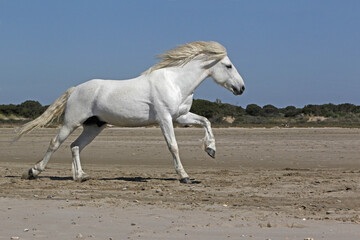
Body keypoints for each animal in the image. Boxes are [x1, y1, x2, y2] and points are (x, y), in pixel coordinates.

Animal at [16, 41, 245, 184]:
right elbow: (173, 146)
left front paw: (211, 150)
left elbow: (206, 121)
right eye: (228, 66)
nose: (241, 88)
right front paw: (184, 176)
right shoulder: (165, 119)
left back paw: (80, 176)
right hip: (71, 123)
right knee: (55, 143)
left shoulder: (180, 117)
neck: (176, 83)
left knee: (75, 146)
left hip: (94, 127)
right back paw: (33, 172)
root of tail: (75, 89)